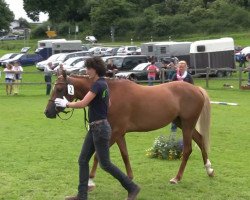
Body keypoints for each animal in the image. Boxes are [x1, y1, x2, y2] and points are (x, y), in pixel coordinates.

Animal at [44, 72, 213, 187]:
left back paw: (177, 178)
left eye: (60, 89)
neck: (110, 95)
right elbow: (125, 154)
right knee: (200, 140)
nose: (47, 112)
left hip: (187, 124)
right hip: (182, 123)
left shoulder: (114, 133)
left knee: (188, 149)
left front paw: (90, 180)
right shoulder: (119, 134)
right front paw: (130, 178)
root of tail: (196, 89)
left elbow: (98, 156)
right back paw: (209, 170)